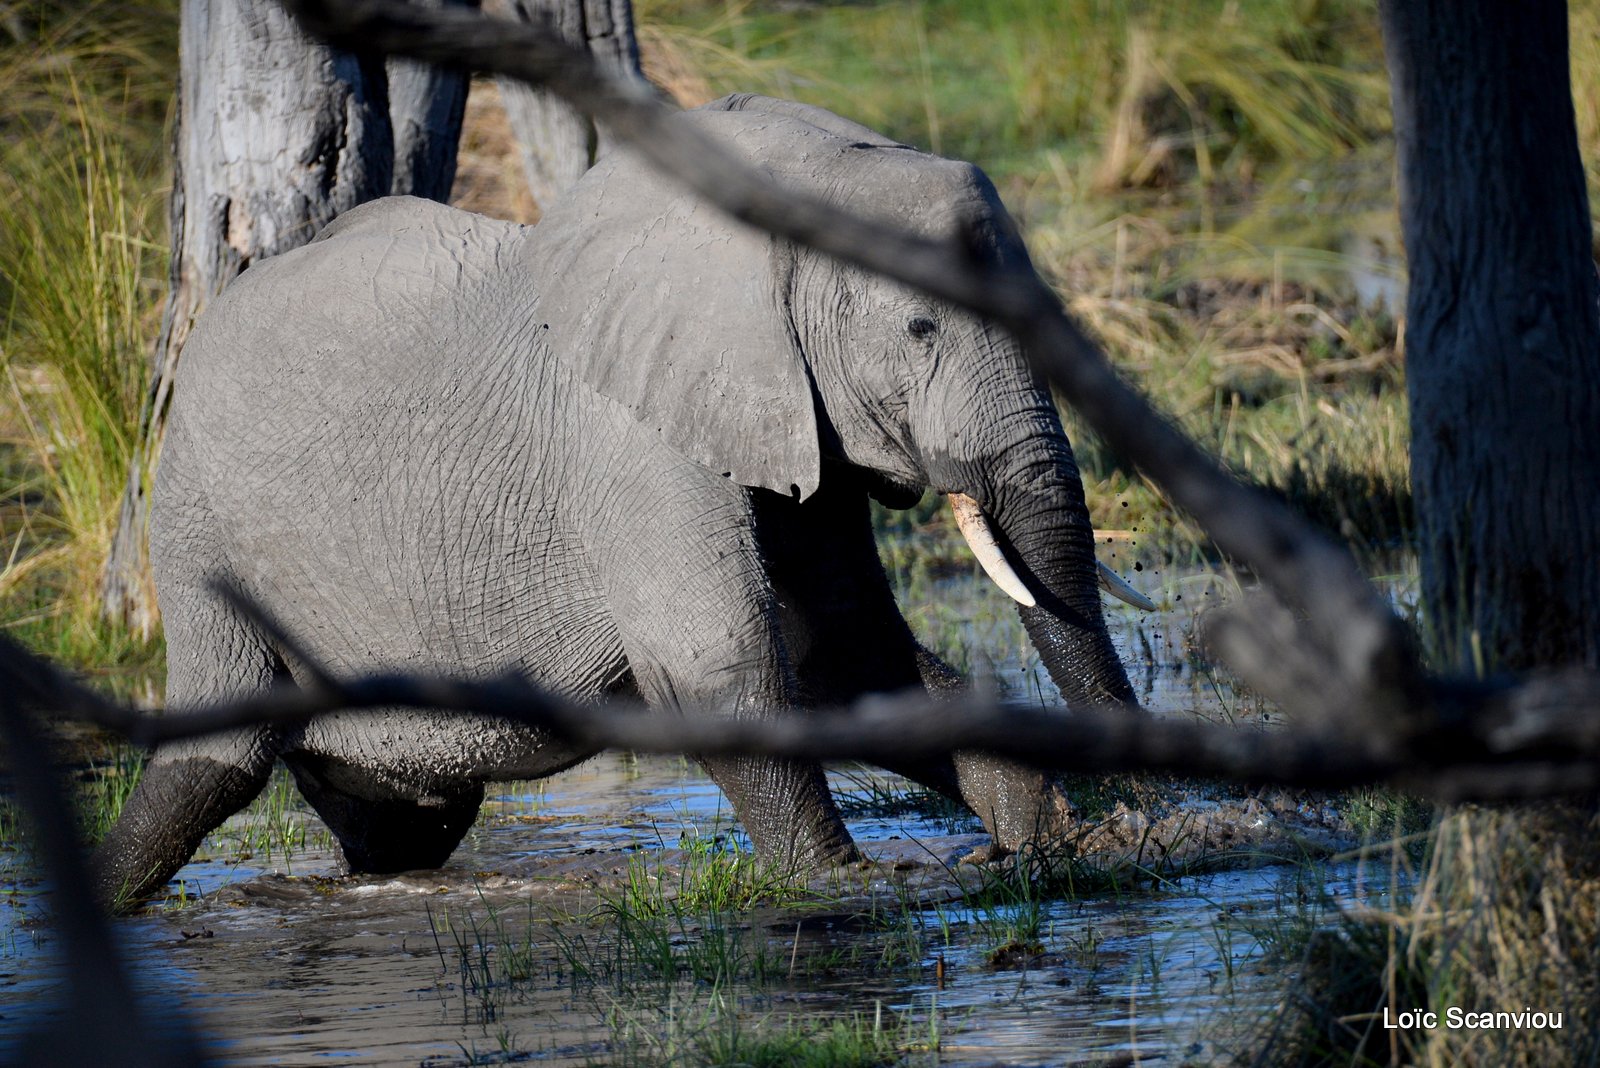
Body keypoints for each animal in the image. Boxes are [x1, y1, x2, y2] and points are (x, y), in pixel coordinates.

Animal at [90, 93, 1139, 908]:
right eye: (922, 326)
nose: (1139, 816)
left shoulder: (793, 423)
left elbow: (852, 651)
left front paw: (1036, 843)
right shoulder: (634, 439)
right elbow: (715, 664)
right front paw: (846, 885)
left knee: (405, 822)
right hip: (197, 524)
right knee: (217, 760)